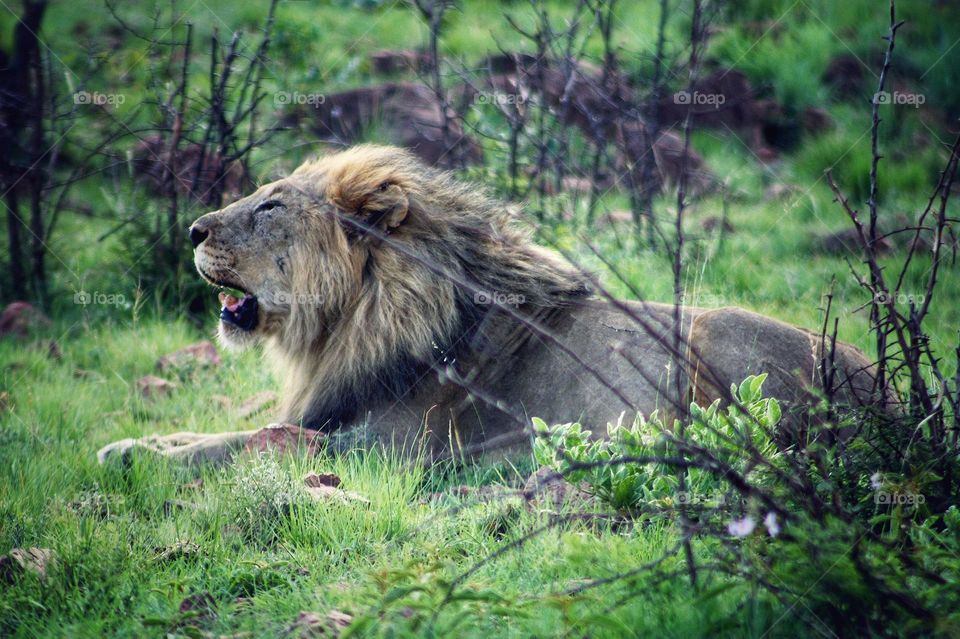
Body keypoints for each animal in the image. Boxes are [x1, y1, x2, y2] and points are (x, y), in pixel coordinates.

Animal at [98, 145, 884, 465]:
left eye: (271, 205)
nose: (192, 230)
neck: (348, 325)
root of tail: (900, 397)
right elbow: (215, 432)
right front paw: (134, 444)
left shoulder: (384, 451)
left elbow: (242, 443)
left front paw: (135, 457)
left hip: (717, 327)